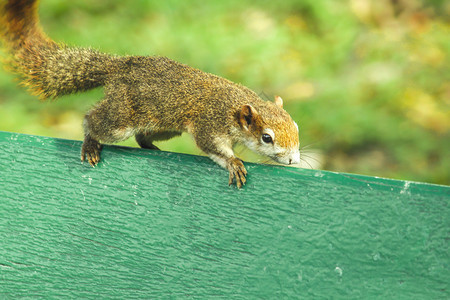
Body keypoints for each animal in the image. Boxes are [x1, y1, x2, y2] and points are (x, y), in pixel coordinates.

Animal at [1, 0, 300, 188]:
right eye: (266, 137)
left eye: (296, 127)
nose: (293, 160)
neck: (235, 104)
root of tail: (120, 66)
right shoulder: (209, 124)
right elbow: (212, 147)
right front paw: (233, 162)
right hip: (120, 118)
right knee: (93, 119)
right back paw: (90, 143)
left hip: (164, 126)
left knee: (143, 137)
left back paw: (153, 149)